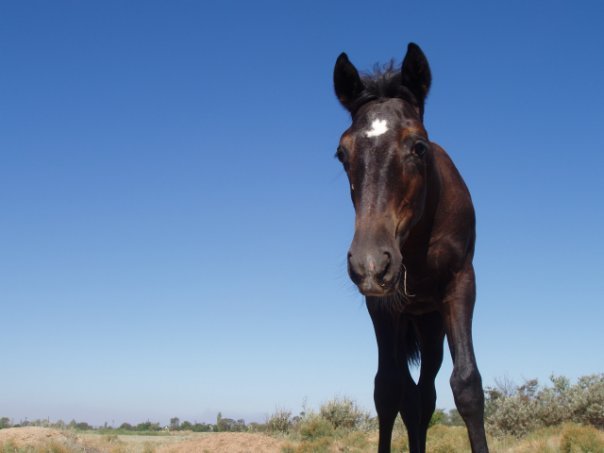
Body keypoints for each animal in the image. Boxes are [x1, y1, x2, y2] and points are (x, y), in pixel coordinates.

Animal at [332, 42, 488, 452]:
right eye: (342, 153)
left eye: (419, 146)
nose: (371, 264)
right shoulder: (382, 305)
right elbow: (386, 390)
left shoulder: (461, 284)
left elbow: (467, 384)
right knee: (407, 393)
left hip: (431, 326)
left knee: (425, 394)